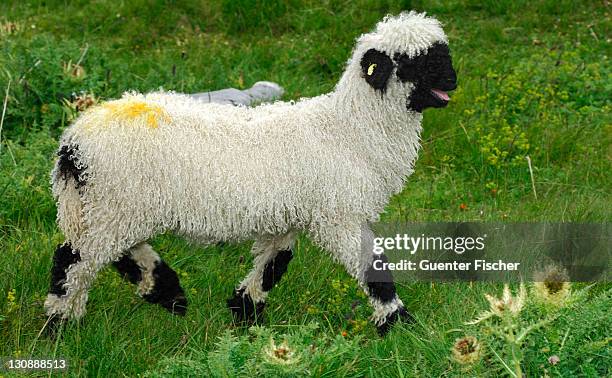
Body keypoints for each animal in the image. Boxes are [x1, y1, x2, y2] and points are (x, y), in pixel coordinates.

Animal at [45, 11, 456, 336]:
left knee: (115, 252)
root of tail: (73, 143)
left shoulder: (289, 217)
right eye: (413, 61)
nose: (453, 81)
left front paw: (245, 313)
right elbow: (373, 268)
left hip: (113, 206)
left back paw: (164, 290)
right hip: (117, 203)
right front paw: (400, 323)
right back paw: (59, 323)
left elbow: (273, 265)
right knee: (74, 259)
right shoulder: (338, 215)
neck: (349, 130)